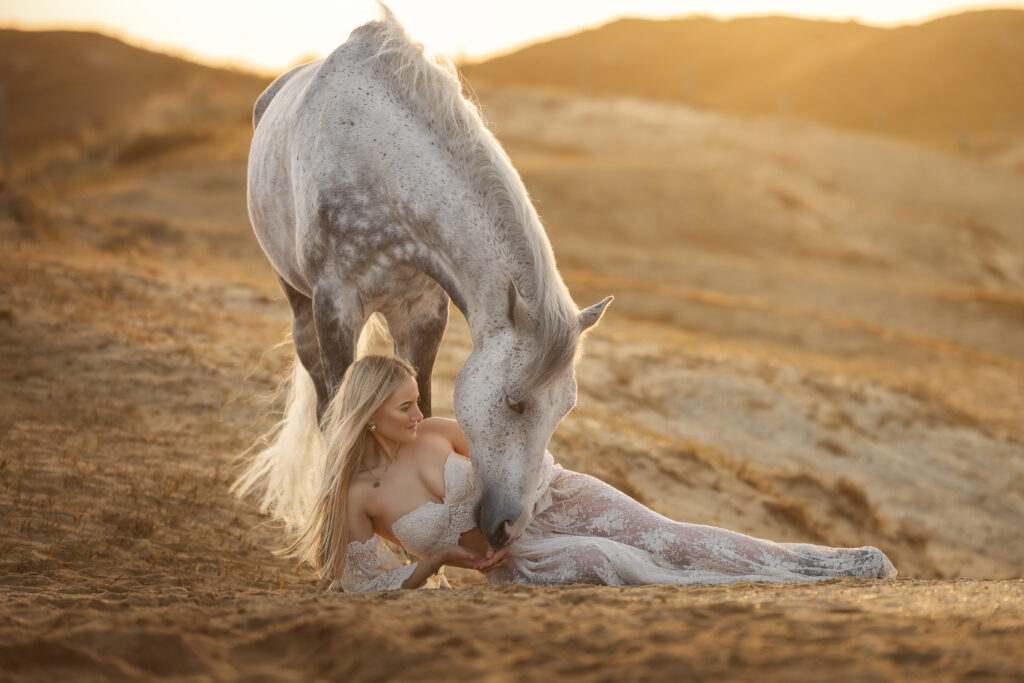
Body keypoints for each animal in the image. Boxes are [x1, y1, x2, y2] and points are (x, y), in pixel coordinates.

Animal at [234, 5, 611, 549]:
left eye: (564, 409)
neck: (379, 161)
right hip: (300, 305)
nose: (508, 528)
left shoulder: (423, 315)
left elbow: (424, 414)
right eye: (515, 404)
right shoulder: (336, 308)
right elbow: (340, 425)